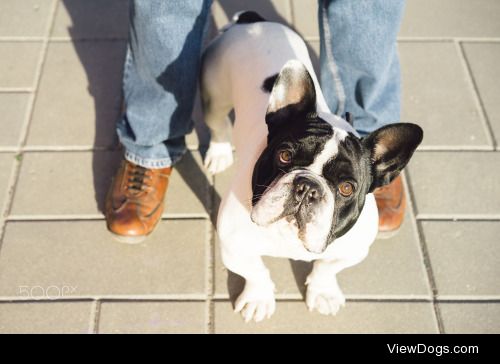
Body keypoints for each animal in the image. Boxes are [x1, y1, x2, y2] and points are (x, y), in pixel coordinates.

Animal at [199, 12, 422, 322]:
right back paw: (219, 152)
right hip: (214, 95)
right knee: (218, 122)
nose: (306, 187)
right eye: (283, 156)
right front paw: (258, 298)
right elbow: (255, 271)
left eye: (347, 188)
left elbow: (327, 267)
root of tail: (251, 21)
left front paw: (324, 292)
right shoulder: (234, 247)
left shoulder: (352, 252)